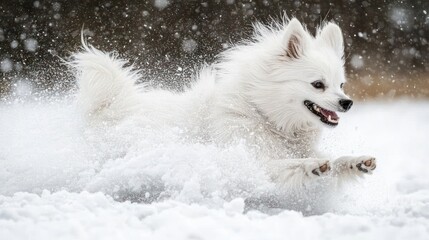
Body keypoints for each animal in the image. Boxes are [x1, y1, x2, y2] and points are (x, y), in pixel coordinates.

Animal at [72, 17, 374, 190]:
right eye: (318, 84)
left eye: (341, 85)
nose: (347, 103)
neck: (267, 117)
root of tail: (113, 105)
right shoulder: (249, 160)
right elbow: (286, 164)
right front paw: (311, 165)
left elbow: (336, 159)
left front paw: (354, 162)